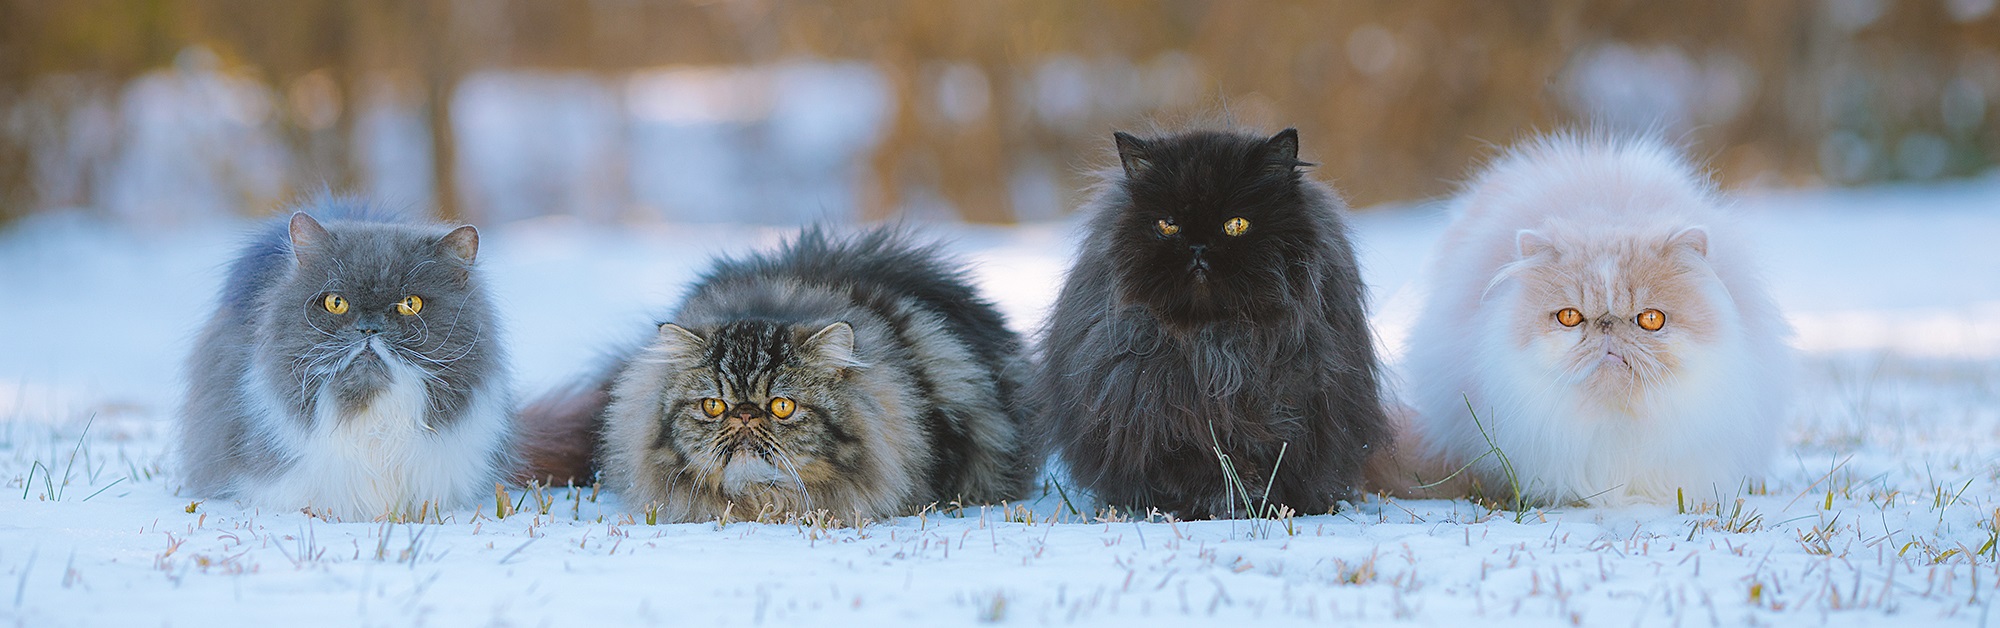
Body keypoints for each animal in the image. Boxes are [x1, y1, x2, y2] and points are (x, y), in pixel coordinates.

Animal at [1032, 129, 1392, 520]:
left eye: (1236, 225)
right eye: (1168, 225)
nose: (1198, 248)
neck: (1216, 345)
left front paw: (1259, 506)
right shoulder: (1158, 413)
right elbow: (1204, 468)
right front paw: (1228, 503)